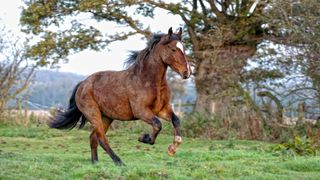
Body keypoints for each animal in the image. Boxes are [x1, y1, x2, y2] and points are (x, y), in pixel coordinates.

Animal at [48, 27, 191, 166]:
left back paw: (96, 164)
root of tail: (82, 84)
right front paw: (144, 138)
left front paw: (172, 149)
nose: (187, 72)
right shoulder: (141, 111)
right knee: (101, 139)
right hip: (93, 115)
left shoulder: (162, 109)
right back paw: (119, 163)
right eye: (173, 49)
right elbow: (157, 124)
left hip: (106, 117)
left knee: (93, 138)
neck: (149, 80)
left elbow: (176, 120)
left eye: (184, 47)